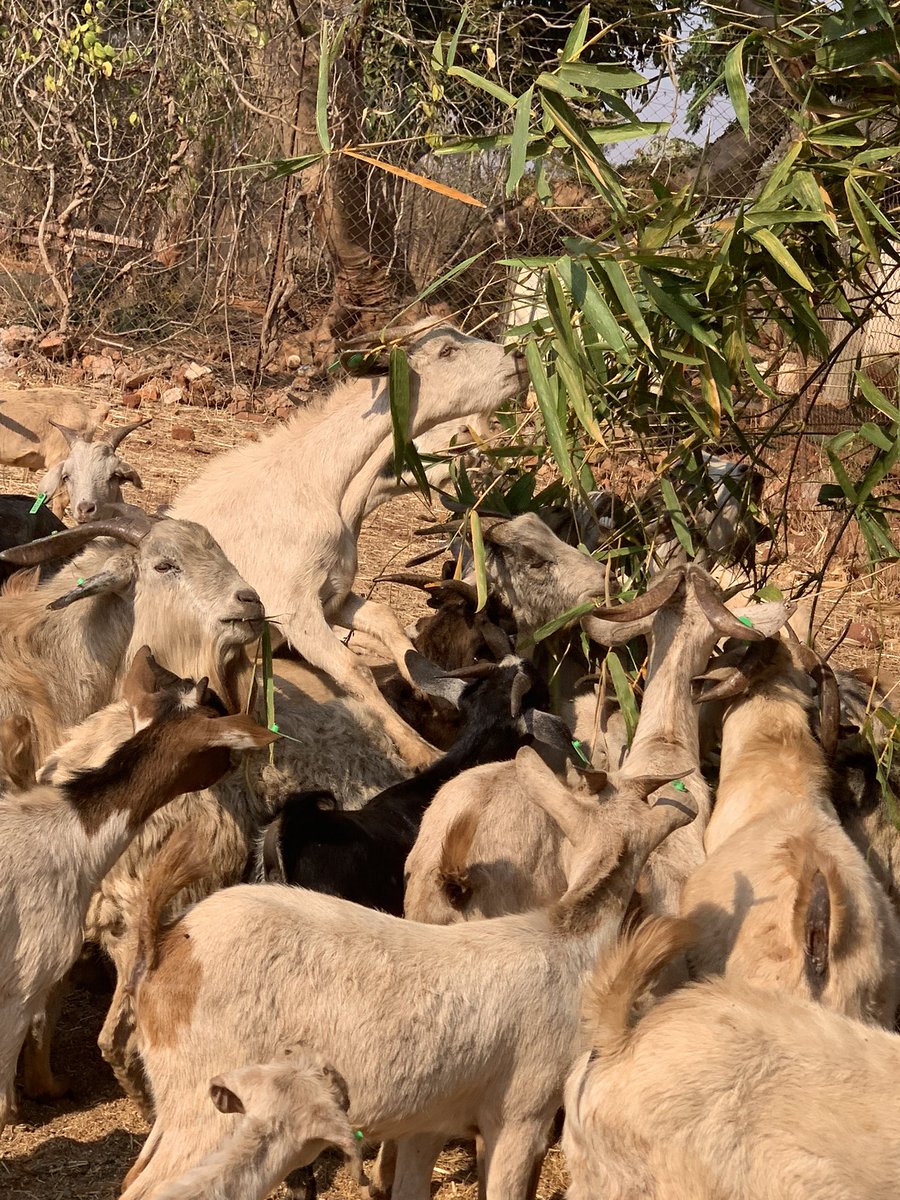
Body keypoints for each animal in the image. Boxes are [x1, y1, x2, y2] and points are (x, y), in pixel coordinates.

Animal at [119, 742, 695, 1200]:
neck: (567, 937)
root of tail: (168, 945)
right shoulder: (520, 1114)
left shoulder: (428, 1122)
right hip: (207, 1112)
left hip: (184, 1103)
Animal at [170, 319, 528, 768]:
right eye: (447, 350)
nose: (520, 355)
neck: (323, 483)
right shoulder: (293, 612)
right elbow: (353, 669)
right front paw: (418, 748)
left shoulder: (335, 597)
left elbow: (389, 625)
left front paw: (433, 695)